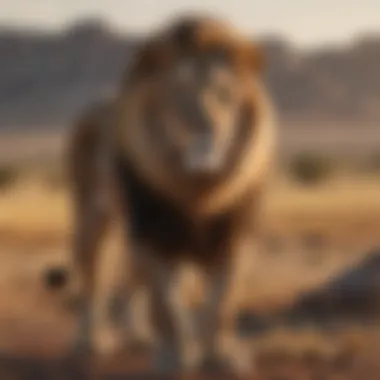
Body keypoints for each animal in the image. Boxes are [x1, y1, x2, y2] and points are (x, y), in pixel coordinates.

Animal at [64, 14, 276, 378]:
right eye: (179, 93)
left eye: (224, 93)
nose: (207, 129)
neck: (198, 189)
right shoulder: (152, 231)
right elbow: (166, 307)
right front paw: (175, 359)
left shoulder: (234, 235)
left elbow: (221, 303)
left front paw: (220, 356)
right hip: (90, 216)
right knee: (93, 283)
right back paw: (91, 341)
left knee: (129, 285)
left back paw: (137, 335)